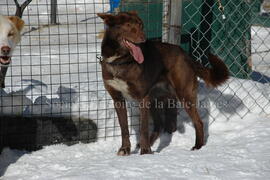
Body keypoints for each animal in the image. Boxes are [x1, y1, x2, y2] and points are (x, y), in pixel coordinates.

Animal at [97, 11, 228, 155]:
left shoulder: (142, 97)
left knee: (198, 122)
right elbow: (124, 129)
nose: (144, 39)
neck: (120, 60)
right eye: (128, 25)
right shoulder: (118, 99)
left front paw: (145, 152)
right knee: (159, 125)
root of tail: (185, 54)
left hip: (184, 95)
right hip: (154, 99)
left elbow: (143, 128)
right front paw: (125, 149)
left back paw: (197, 147)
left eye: (141, 25)